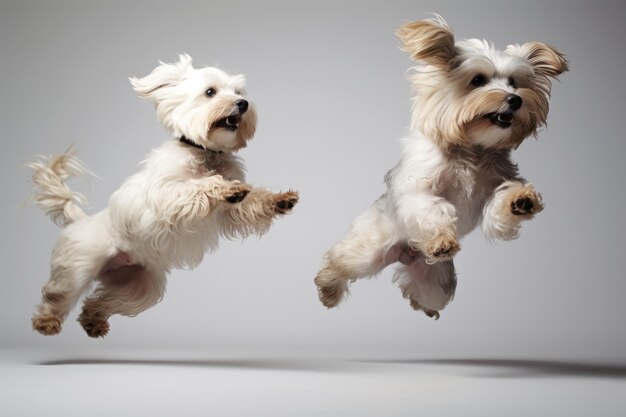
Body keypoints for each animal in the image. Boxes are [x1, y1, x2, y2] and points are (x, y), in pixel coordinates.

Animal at [30, 55, 298, 336]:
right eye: (210, 92)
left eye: (238, 92)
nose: (243, 103)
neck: (206, 152)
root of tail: (81, 219)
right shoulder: (167, 196)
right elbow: (199, 186)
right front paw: (225, 187)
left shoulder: (231, 212)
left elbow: (250, 202)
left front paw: (278, 199)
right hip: (78, 266)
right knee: (57, 294)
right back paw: (47, 321)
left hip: (141, 286)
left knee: (99, 302)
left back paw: (93, 322)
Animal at [314, 15, 564, 316]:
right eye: (477, 80)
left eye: (514, 82)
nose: (515, 100)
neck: (472, 149)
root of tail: (405, 254)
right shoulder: (417, 191)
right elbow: (432, 208)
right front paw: (441, 240)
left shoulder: (491, 193)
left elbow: (500, 206)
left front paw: (521, 200)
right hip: (368, 249)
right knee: (340, 261)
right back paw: (327, 288)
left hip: (436, 282)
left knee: (425, 294)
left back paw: (421, 305)